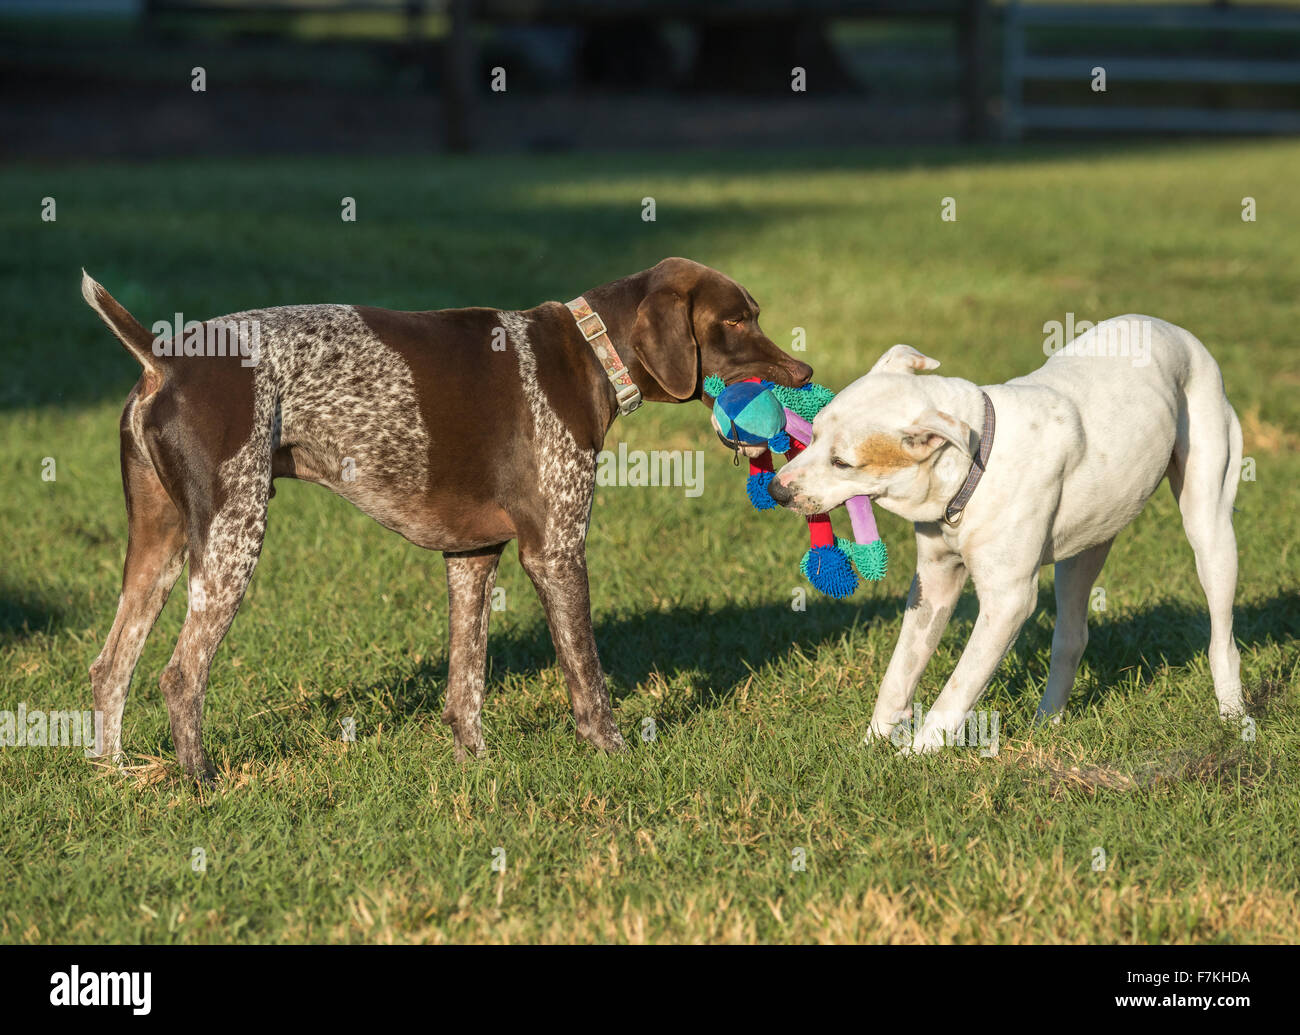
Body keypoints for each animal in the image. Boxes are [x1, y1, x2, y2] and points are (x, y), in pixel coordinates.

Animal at [81, 256, 806, 774]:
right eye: (734, 322)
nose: (804, 371)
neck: (591, 352)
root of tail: (163, 358)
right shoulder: (556, 550)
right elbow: (587, 676)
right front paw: (613, 752)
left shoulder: (471, 556)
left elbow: (467, 685)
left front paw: (474, 764)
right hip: (232, 537)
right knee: (181, 674)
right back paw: (201, 779)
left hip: (161, 547)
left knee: (112, 666)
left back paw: (113, 775)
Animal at [764, 315, 1242, 754]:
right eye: (814, 434)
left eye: (842, 462)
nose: (776, 490)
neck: (972, 466)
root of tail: (1173, 329)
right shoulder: (933, 584)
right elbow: (899, 672)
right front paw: (872, 745)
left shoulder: (1008, 601)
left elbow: (958, 688)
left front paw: (915, 755)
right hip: (1087, 545)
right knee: (1072, 635)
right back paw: (1047, 721)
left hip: (1209, 524)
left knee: (1222, 636)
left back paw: (1234, 717)